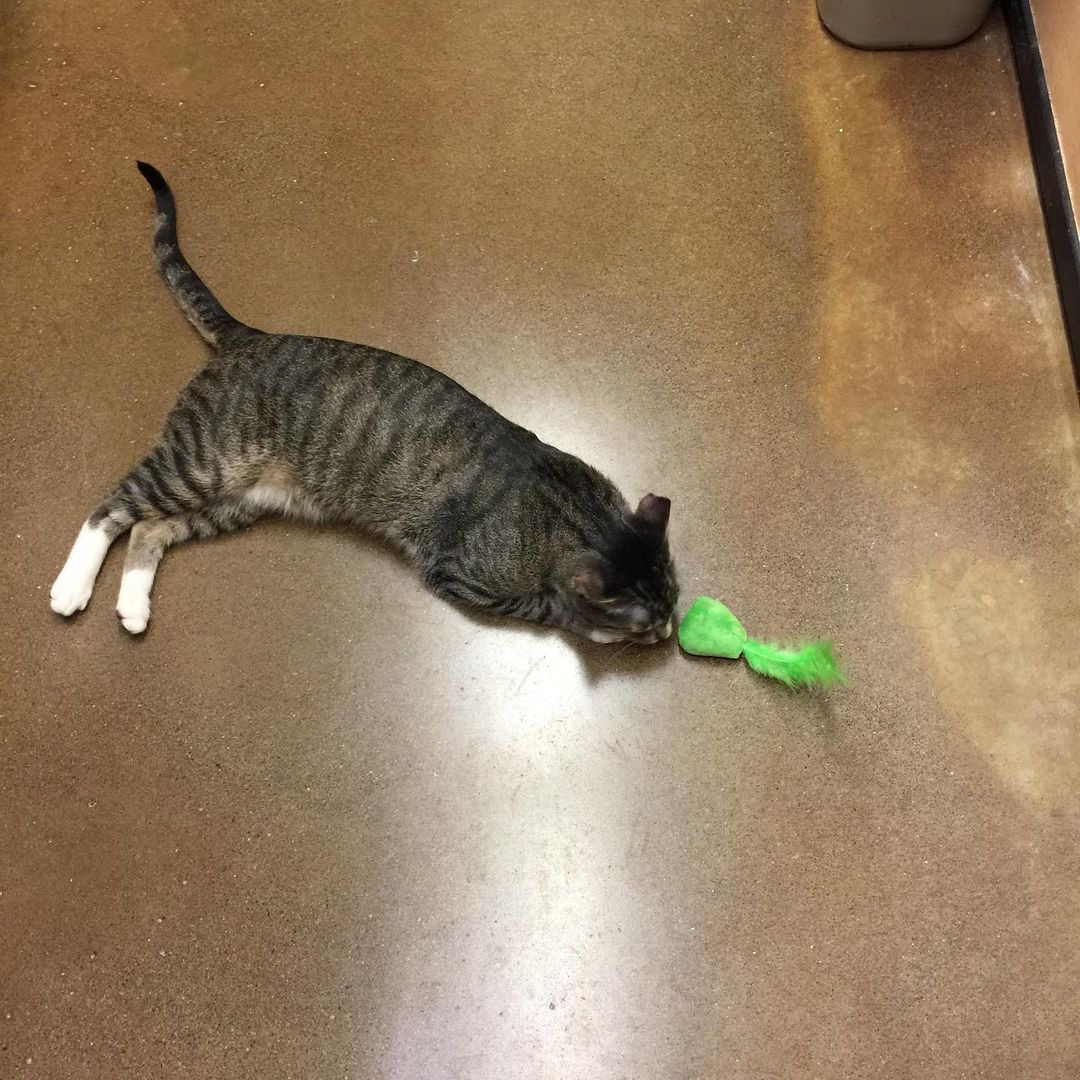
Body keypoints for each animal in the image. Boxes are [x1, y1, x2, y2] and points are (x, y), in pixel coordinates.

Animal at [50, 160, 678, 643]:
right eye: (648, 621)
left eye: (675, 595)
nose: (671, 629)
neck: (577, 514)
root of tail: (250, 336)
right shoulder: (459, 573)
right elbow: (548, 606)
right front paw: (594, 627)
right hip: (201, 463)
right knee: (111, 507)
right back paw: (70, 587)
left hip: (234, 500)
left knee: (149, 529)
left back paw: (133, 607)